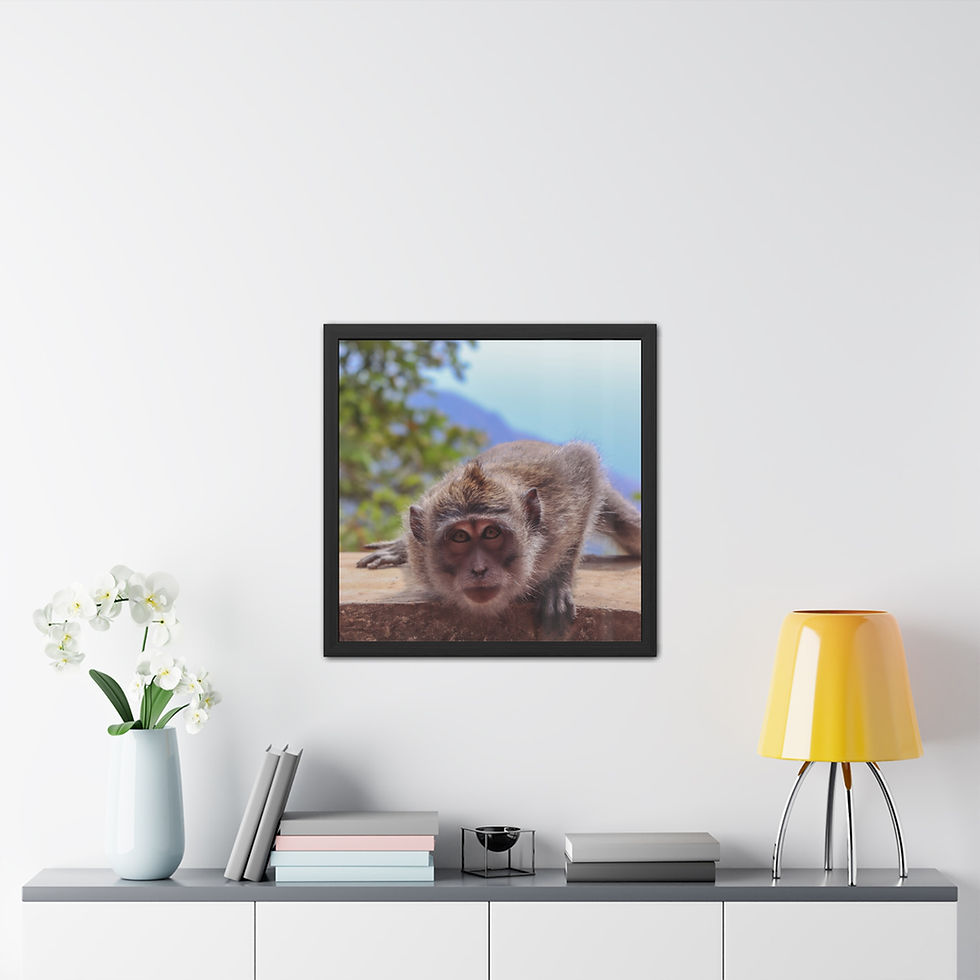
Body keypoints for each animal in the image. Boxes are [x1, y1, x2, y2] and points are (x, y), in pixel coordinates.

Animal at [356, 440, 641, 638]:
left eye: (491, 533)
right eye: (460, 537)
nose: (479, 569)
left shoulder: (560, 502)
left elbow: (584, 463)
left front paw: (556, 583)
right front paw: (399, 547)